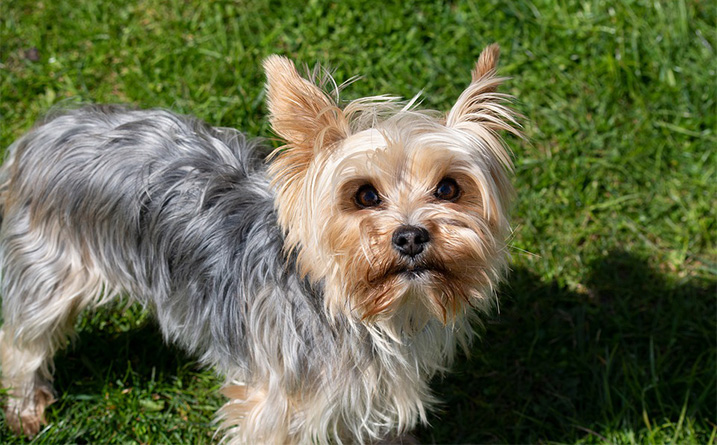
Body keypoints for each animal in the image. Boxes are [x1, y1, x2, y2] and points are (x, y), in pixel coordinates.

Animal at [0, 44, 516, 440]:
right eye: (364, 195)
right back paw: (26, 410)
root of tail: (42, 131)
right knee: (23, 341)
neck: (365, 315)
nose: (410, 236)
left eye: (449, 188)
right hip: (47, 270)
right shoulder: (277, 406)